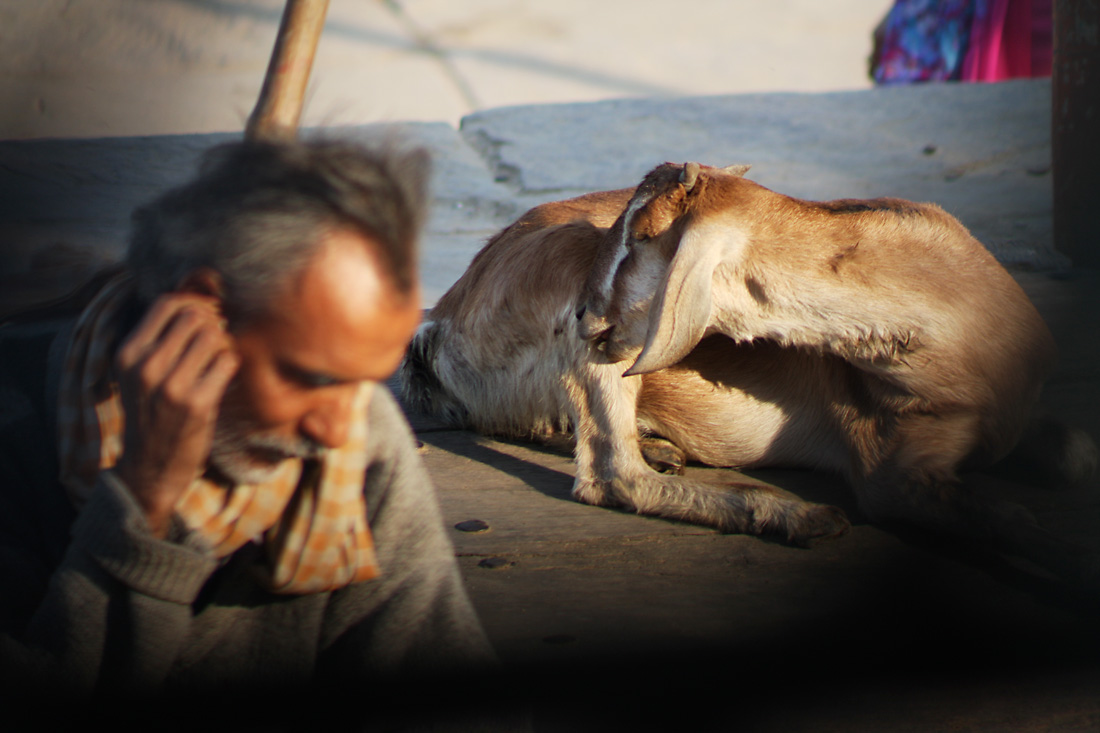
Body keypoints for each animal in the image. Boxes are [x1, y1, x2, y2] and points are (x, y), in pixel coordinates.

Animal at [404, 161, 1100, 581]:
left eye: (639, 241)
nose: (581, 314)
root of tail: (440, 321)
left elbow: (1074, 455)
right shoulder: (890, 464)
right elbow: (1006, 517)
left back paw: (657, 447)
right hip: (590, 321)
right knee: (609, 475)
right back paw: (793, 517)